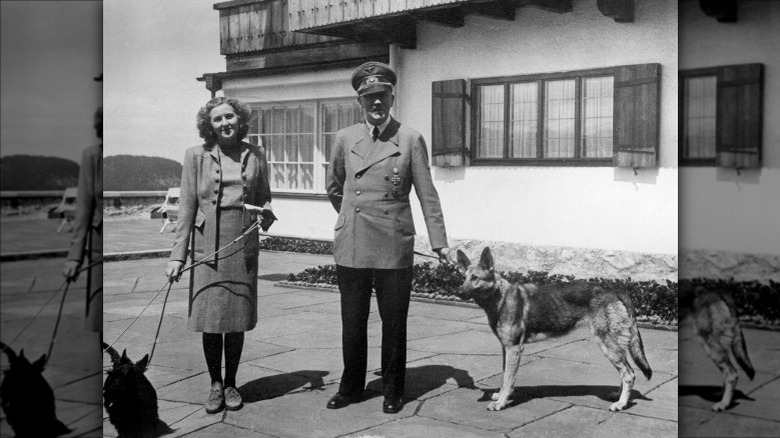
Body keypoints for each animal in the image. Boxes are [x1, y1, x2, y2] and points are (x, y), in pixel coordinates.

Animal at [454, 248, 648, 412]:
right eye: (463, 277)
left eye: (475, 278)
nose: (459, 292)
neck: (499, 299)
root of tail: (614, 290)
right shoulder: (506, 348)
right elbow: (504, 377)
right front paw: (500, 396)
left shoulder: (513, 349)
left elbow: (509, 379)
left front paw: (501, 403)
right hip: (614, 348)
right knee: (625, 372)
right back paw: (618, 396)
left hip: (608, 346)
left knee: (629, 374)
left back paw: (621, 404)